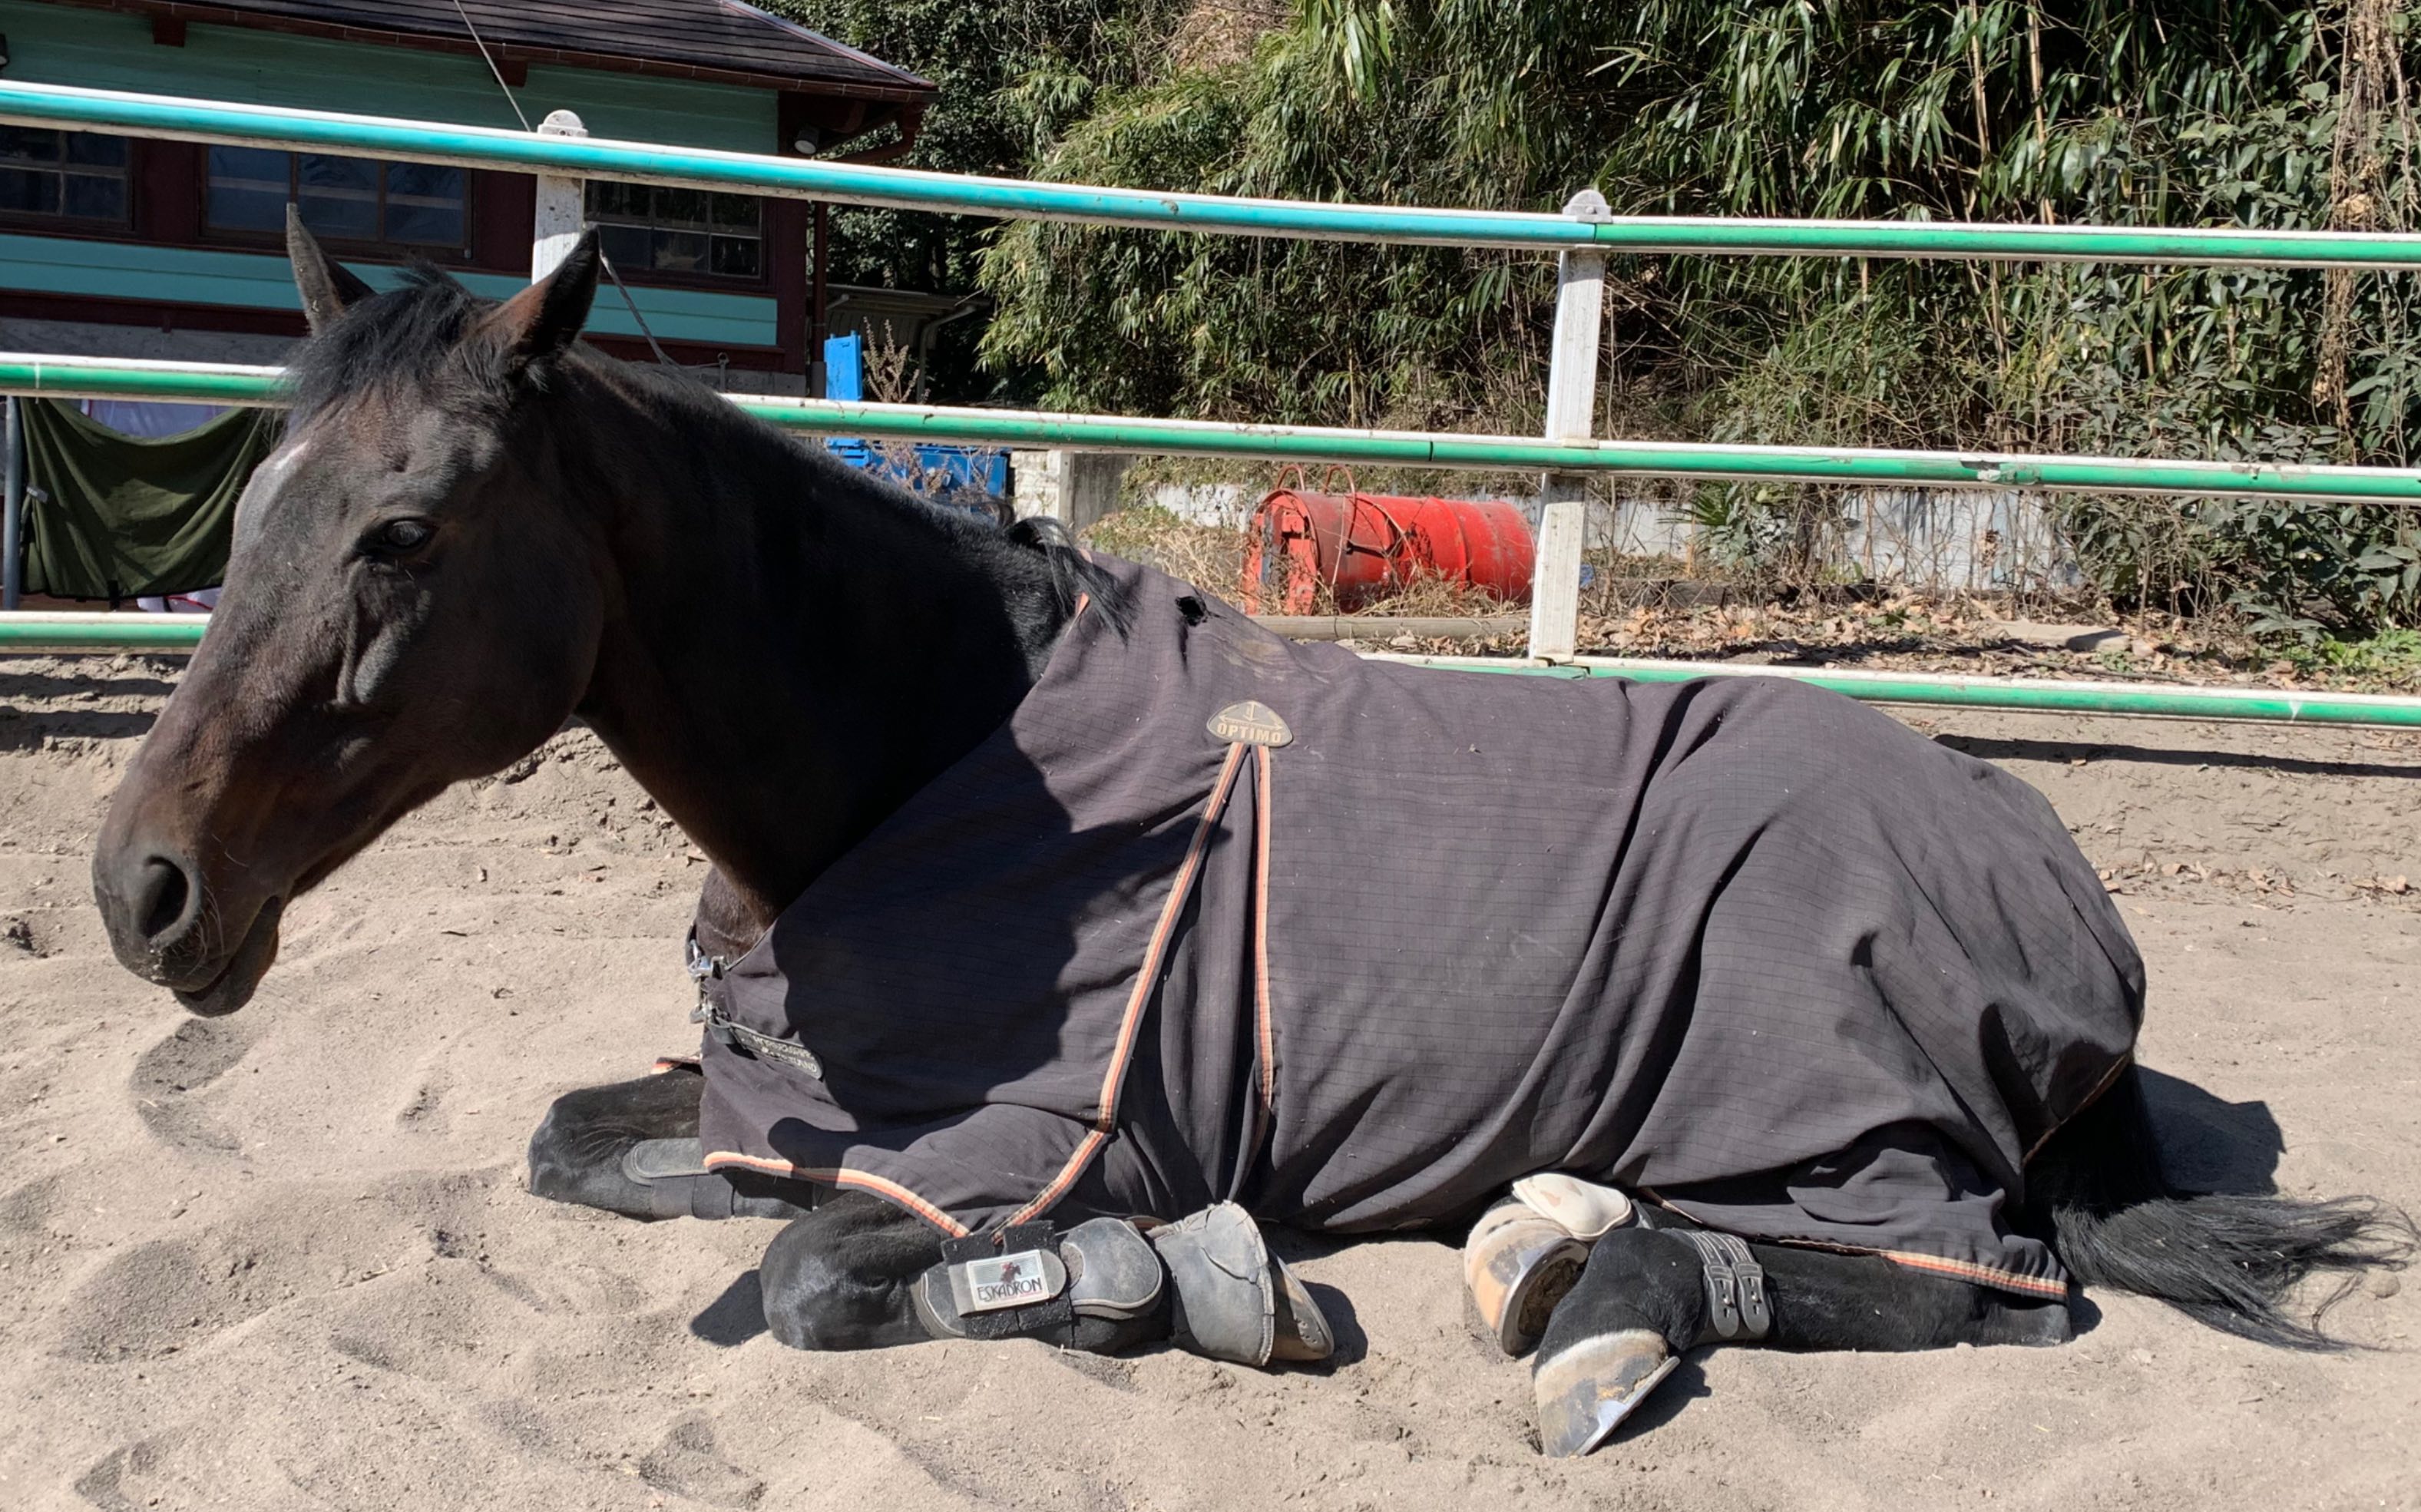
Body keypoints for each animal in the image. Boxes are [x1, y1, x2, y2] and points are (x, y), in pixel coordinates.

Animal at [85, 217, 2411, 1463]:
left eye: (402, 534)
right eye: (252, 497)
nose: (142, 887)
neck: (917, 760)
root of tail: (2063, 899)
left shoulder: (1024, 1144)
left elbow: (820, 1278)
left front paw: (1169, 1282)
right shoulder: (786, 1091)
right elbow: (581, 1146)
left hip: (1850, 1124)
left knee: (1975, 1292)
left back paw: (1613, 1297)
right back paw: (1559, 1222)